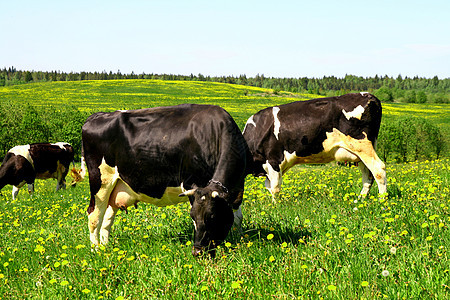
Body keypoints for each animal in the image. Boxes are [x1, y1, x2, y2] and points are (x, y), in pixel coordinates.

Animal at [81, 104, 250, 256]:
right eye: (192, 216)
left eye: (212, 216)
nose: (197, 252)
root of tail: (96, 116)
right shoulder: (191, 183)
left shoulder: (237, 189)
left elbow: (237, 217)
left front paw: (237, 239)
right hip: (100, 181)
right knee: (94, 215)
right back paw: (96, 250)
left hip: (117, 186)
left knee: (107, 218)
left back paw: (106, 247)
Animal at [243, 92, 386, 199]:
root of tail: (369, 95)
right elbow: (269, 186)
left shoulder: (274, 159)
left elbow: (275, 188)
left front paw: (276, 207)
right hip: (361, 151)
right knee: (368, 174)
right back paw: (360, 199)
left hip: (362, 145)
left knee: (378, 169)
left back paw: (382, 200)